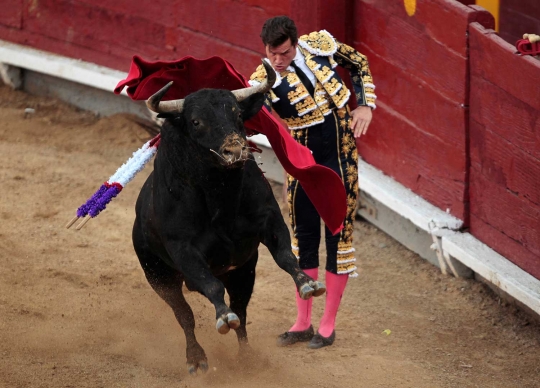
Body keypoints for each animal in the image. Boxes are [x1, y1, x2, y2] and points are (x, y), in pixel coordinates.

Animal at [132, 61, 324, 376]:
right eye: (196, 122)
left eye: (236, 113)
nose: (235, 150)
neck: (220, 192)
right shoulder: (183, 249)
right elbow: (211, 287)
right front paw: (223, 317)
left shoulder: (269, 220)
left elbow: (286, 256)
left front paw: (307, 283)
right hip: (159, 277)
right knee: (184, 315)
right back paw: (196, 359)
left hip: (243, 272)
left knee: (241, 311)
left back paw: (245, 358)